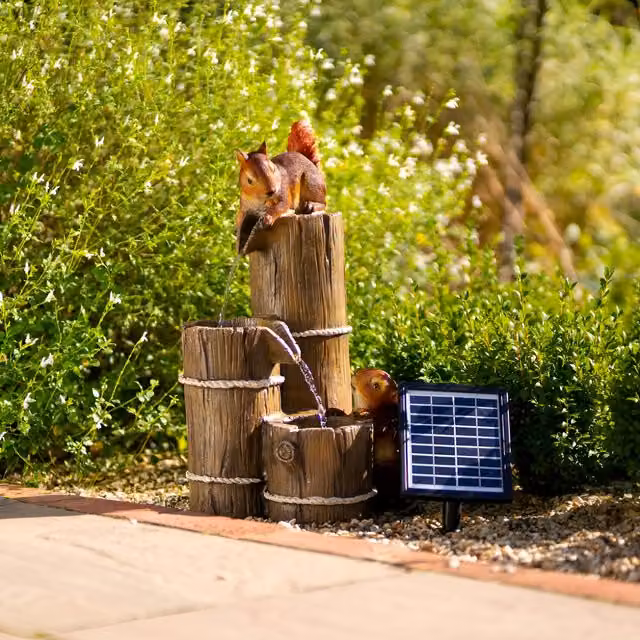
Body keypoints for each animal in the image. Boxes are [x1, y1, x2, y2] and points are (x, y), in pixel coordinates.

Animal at [234, 120, 327, 252]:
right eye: (249, 180)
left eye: (273, 169)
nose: (272, 191)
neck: (259, 199)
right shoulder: (245, 206)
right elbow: (240, 217)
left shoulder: (284, 192)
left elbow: (281, 206)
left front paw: (268, 217)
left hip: (312, 184)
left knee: (323, 203)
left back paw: (311, 205)